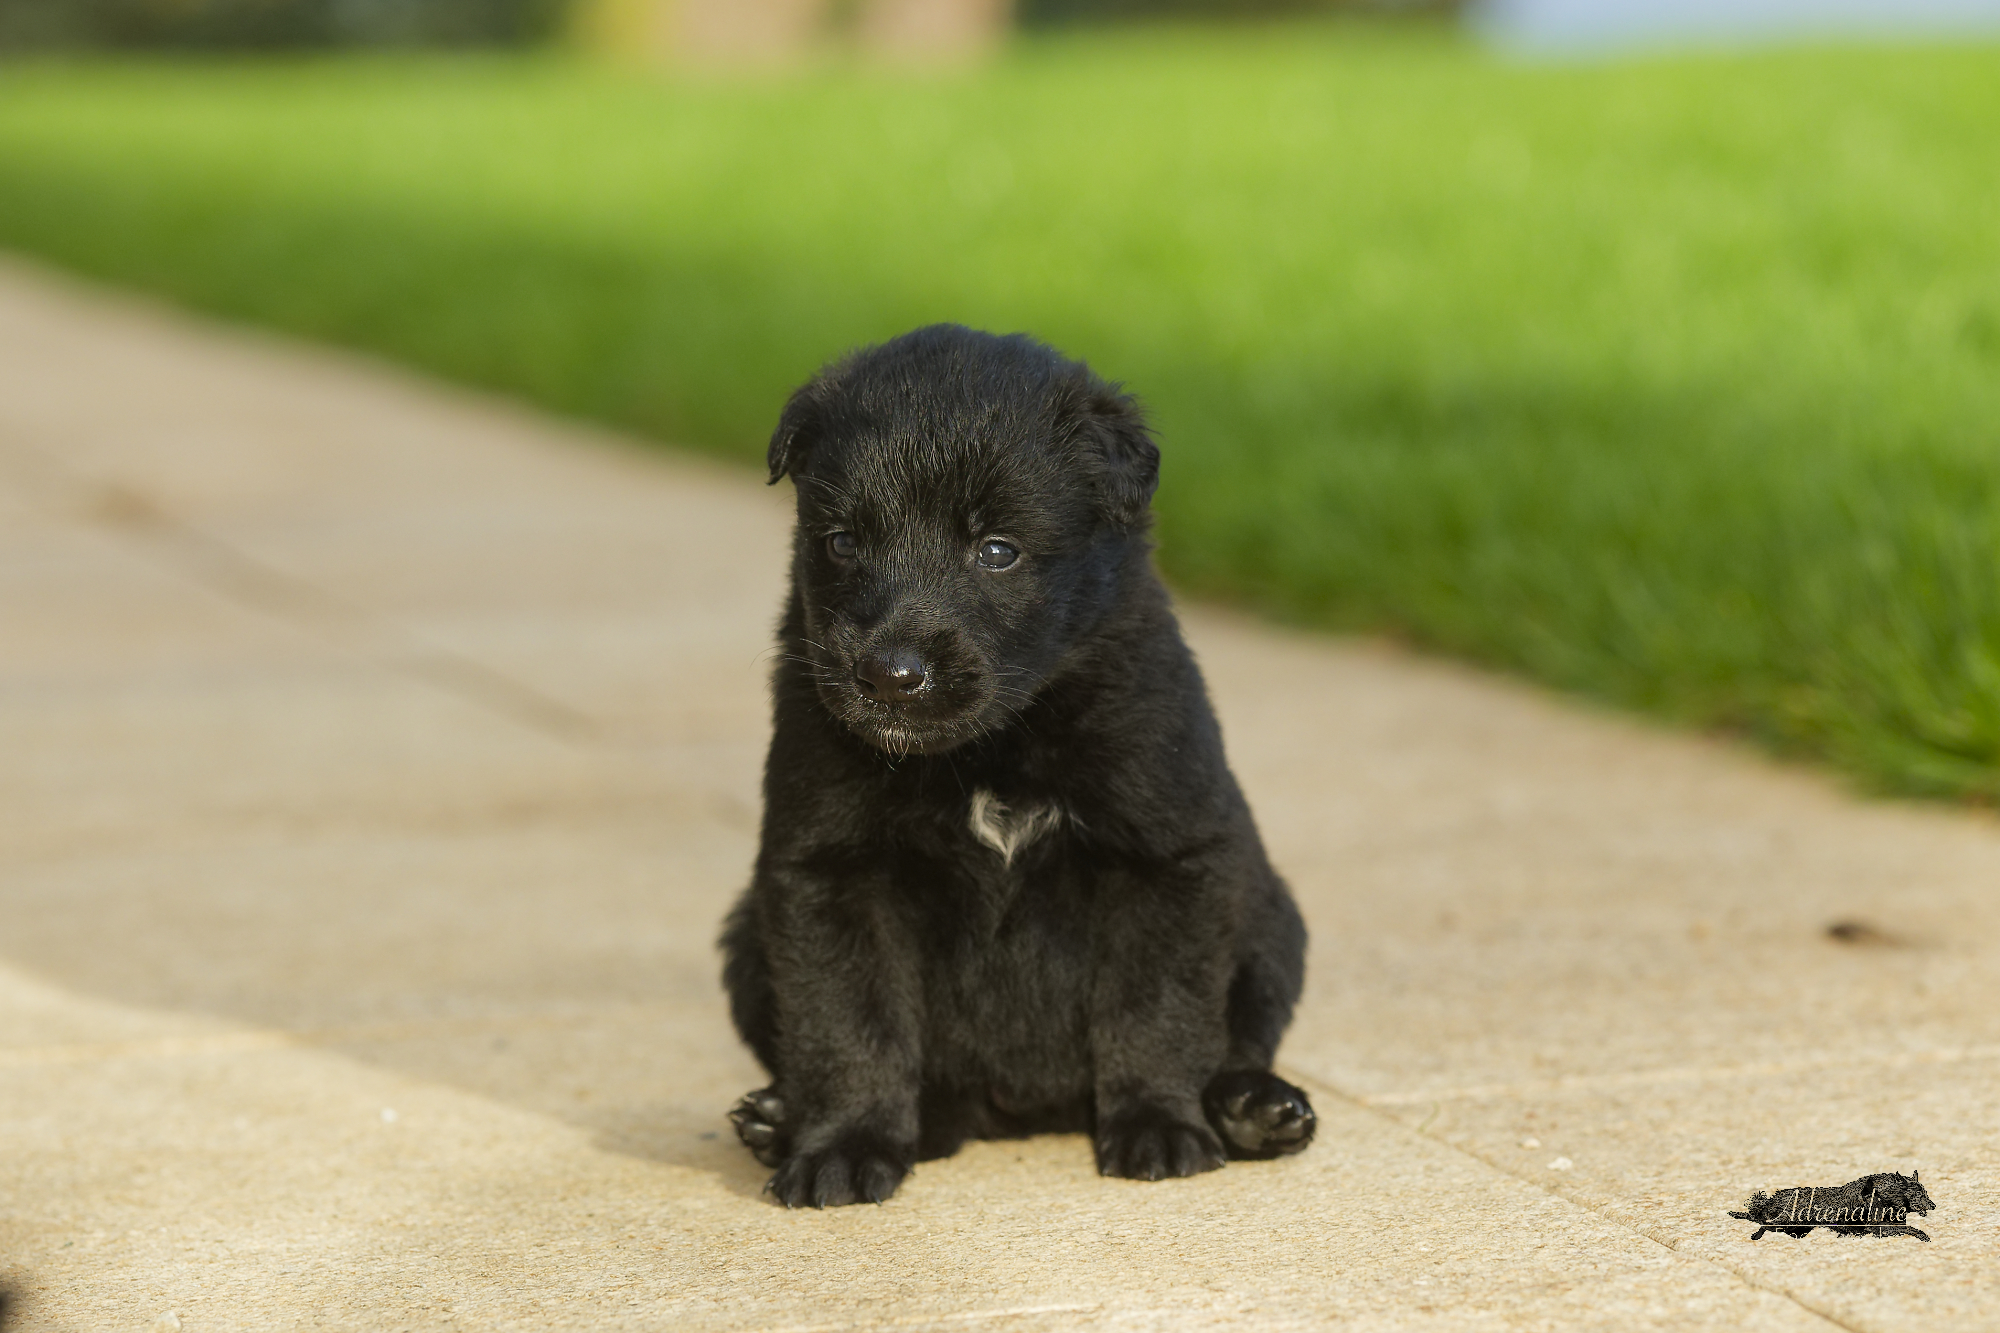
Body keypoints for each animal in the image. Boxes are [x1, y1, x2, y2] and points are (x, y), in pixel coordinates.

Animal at [720, 324, 1312, 1200]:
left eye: (997, 550)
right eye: (842, 542)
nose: (889, 674)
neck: (992, 746)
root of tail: (1019, 1112)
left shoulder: (1166, 857)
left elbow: (1155, 1008)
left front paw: (1158, 1123)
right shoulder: (827, 871)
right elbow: (848, 1019)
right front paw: (844, 1143)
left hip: (1272, 918)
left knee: (1237, 1037)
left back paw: (1249, 1109)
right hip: (744, 936)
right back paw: (788, 1118)